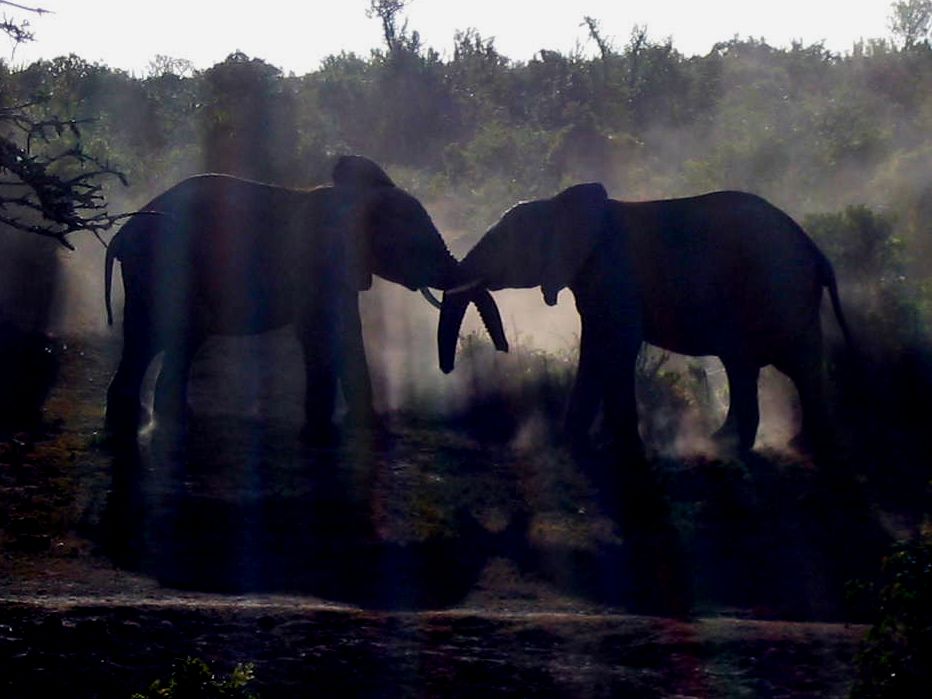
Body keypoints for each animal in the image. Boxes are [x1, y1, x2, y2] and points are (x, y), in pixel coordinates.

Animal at [104, 158, 506, 442]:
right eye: (415, 248)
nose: (501, 350)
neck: (354, 199)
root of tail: (121, 233)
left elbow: (343, 331)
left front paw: (361, 428)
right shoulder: (315, 262)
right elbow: (323, 333)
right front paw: (323, 433)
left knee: (179, 338)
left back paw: (169, 420)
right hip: (155, 267)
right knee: (149, 337)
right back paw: (131, 424)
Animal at [436, 183, 852, 456]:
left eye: (505, 245)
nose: (447, 370)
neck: (561, 205)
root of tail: (816, 251)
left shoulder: (615, 272)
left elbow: (617, 345)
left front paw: (615, 446)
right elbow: (596, 347)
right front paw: (574, 442)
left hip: (781, 289)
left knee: (795, 364)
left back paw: (800, 445)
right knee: (744, 365)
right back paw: (730, 443)